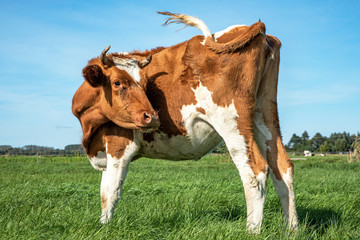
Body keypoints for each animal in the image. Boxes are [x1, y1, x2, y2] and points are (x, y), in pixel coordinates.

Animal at [72, 11, 298, 232]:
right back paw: (292, 229)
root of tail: (254, 29)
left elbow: (110, 192)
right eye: (117, 83)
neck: (89, 128)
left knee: (255, 172)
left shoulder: (119, 146)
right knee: (282, 168)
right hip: (265, 114)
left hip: (232, 122)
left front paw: (104, 229)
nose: (153, 116)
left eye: (144, 84)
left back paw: (251, 230)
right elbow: (103, 192)